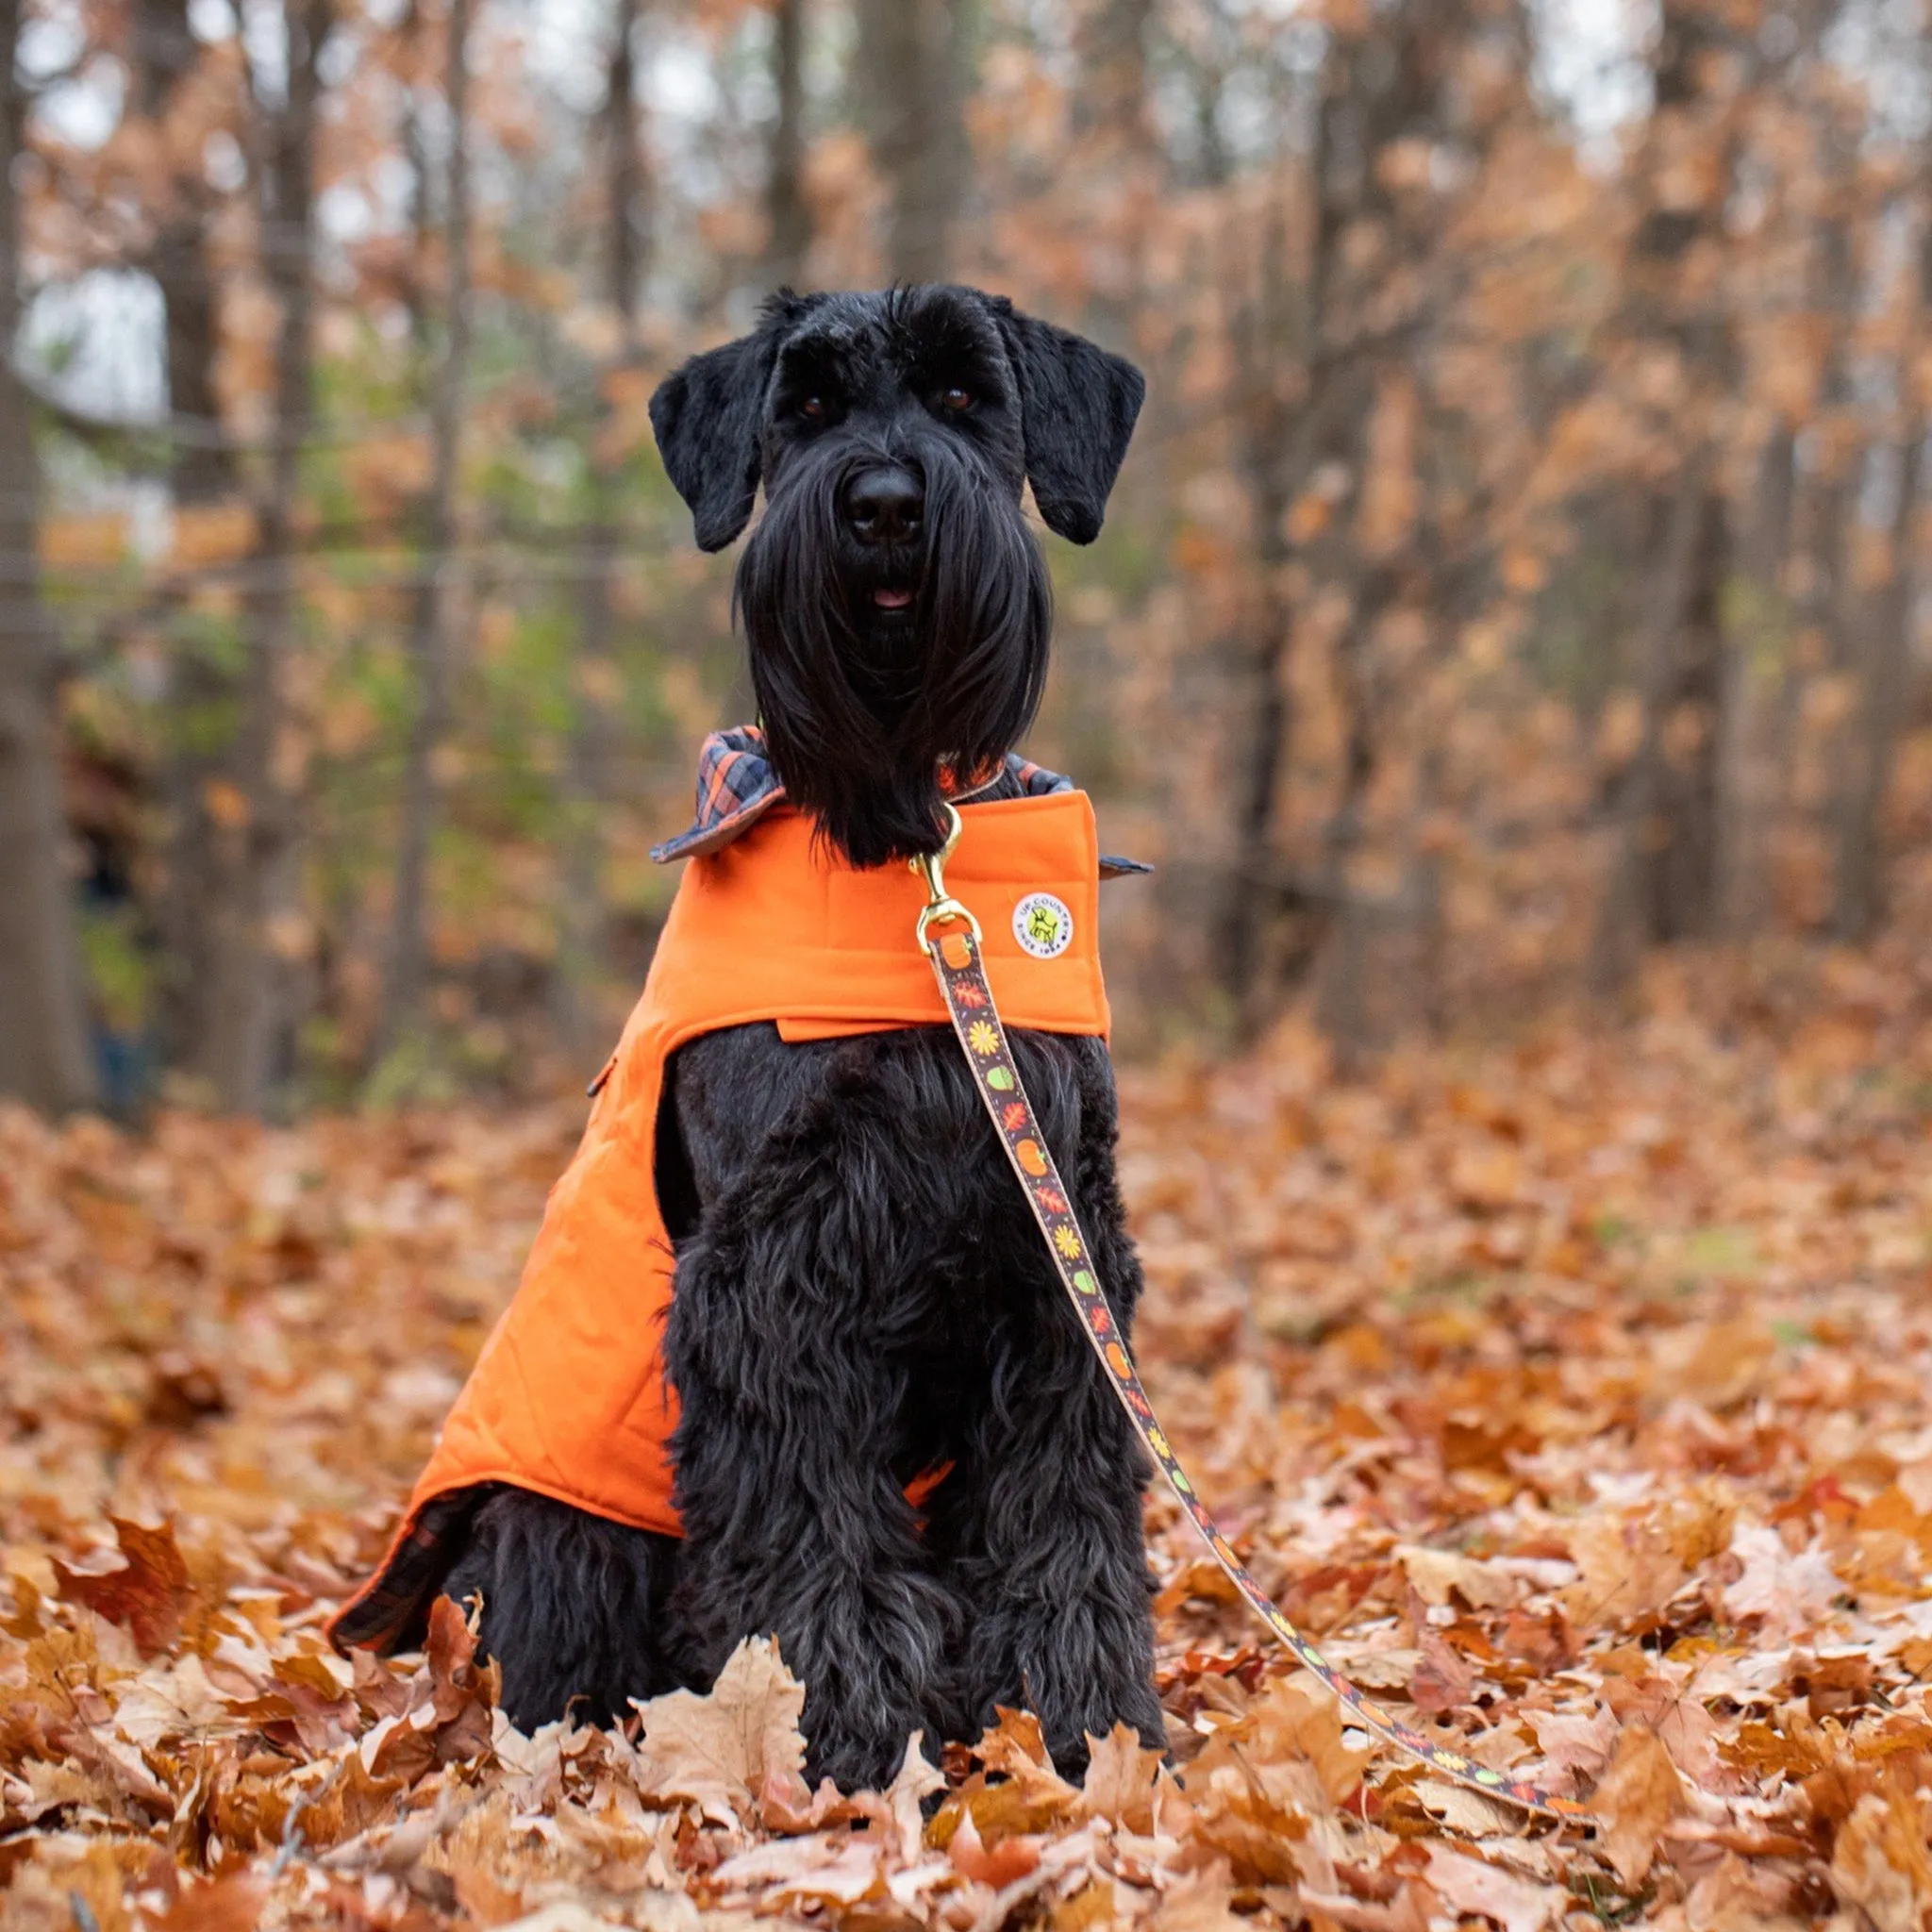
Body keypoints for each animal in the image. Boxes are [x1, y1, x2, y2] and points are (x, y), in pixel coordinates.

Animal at [441, 282, 1158, 1777]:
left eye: (964, 397)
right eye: (810, 407)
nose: (882, 505)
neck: (906, 846)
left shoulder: (1057, 1248)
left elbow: (1058, 1508)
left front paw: (1083, 1720)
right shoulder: (775, 1270)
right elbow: (809, 1520)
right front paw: (840, 1728)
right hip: (562, 1523)